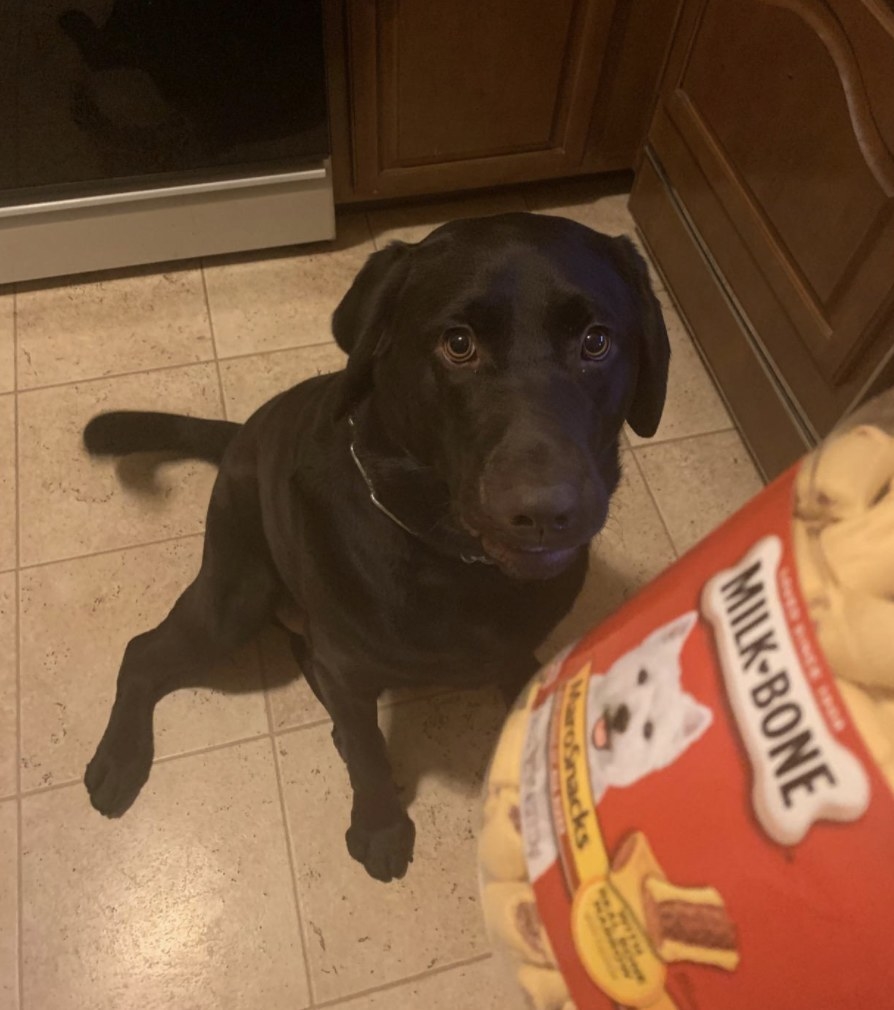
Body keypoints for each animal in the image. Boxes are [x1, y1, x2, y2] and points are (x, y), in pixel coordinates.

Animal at [83, 211, 666, 876]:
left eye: (596, 342)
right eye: (458, 344)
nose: (545, 511)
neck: (457, 563)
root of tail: (240, 435)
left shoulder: (509, 649)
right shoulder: (349, 662)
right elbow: (368, 754)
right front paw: (381, 827)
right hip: (236, 596)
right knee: (144, 653)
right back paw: (120, 760)